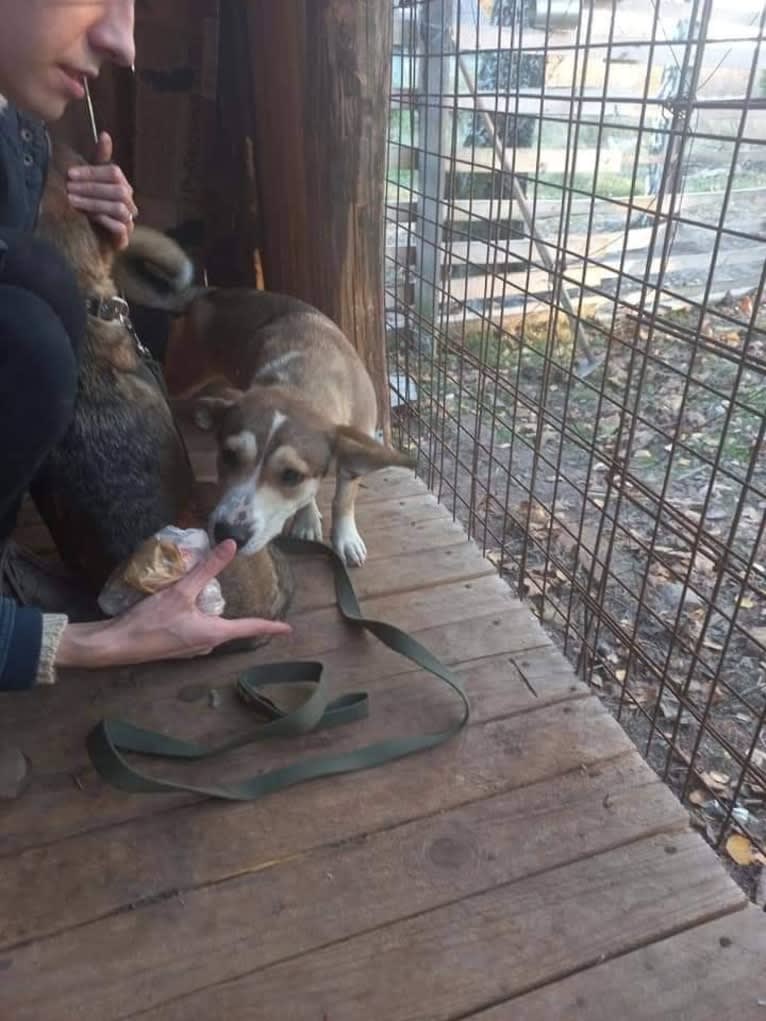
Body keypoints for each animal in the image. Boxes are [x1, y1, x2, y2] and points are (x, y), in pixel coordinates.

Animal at [120, 234, 416, 567]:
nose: (228, 534)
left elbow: (342, 499)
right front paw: (307, 517)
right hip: (185, 373)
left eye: (291, 476)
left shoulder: (354, 447)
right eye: (229, 455)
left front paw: (343, 537)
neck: (301, 383)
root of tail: (209, 292)